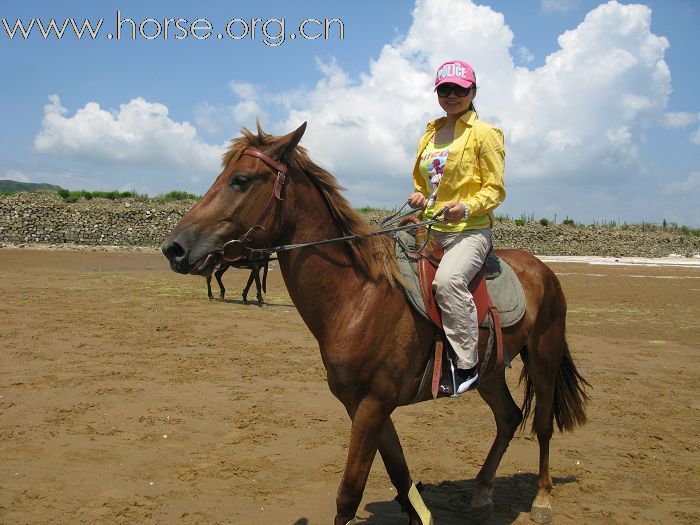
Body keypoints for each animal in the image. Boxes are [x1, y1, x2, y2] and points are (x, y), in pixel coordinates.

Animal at [163, 124, 592, 524]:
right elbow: (401, 476)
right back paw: (483, 495)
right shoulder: (365, 405)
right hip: (490, 371)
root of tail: (541, 269)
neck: (357, 297)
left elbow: (349, 493)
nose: (174, 248)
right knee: (508, 419)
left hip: (543, 357)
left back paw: (542, 499)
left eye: (240, 180)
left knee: (542, 425)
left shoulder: (372, 404)